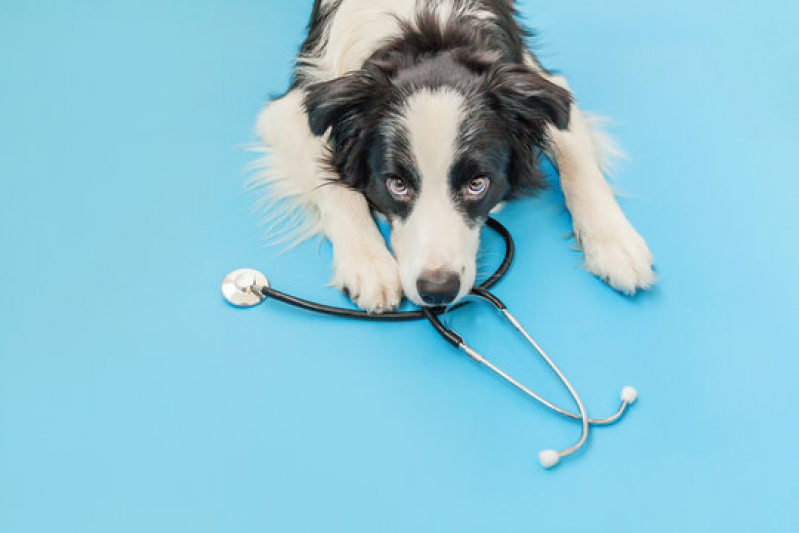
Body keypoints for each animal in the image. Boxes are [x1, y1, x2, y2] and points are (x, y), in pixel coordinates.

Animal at [256, 0, 656, 312]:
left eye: (477, 185)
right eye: (396, 184)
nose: (438, 291)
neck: (428, 32)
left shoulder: (543, 84)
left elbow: (577, 158)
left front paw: (616, 243)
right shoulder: (295, 107)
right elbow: (335, 186)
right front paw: (369, 264)